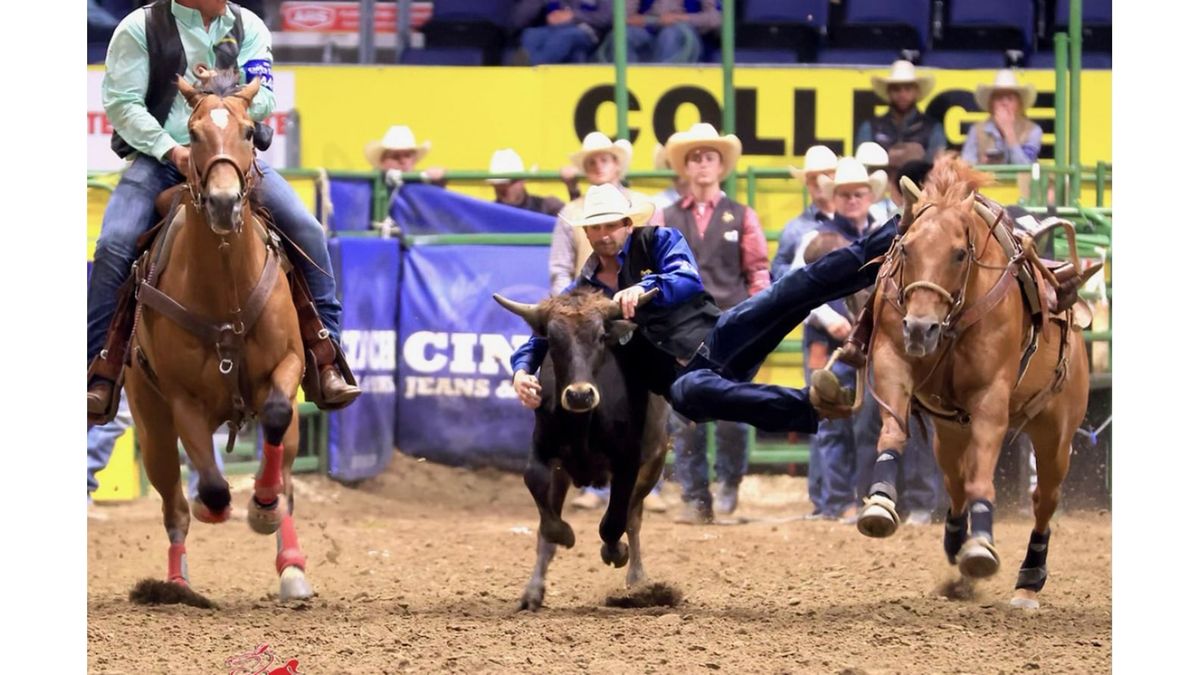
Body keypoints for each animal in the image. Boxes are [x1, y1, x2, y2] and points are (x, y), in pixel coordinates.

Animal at [123, 72, 312, 598]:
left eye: (249, 131)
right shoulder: (181, 399)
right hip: (151, 426)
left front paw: (262, 505)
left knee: (288, 479)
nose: (225, 203)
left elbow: (276, 413)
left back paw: (291, 564)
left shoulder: (289, 365)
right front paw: (216, 506)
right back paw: (175, 583)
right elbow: (208, 486)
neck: (226, 289)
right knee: (175, 507)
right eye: (193, 133)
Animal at [854, 157, 1099, 610]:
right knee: (955, 482)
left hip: (1056, 438)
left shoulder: (990, 398)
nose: (921, 328)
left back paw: (1028, 579)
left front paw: (982, 545)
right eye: (907, 248)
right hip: (949, 431)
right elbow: (893, 432)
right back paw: (955, 542)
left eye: (958, 253)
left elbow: (984, 471)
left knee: (1044, 500)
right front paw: (879, 503)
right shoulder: (893, 360)